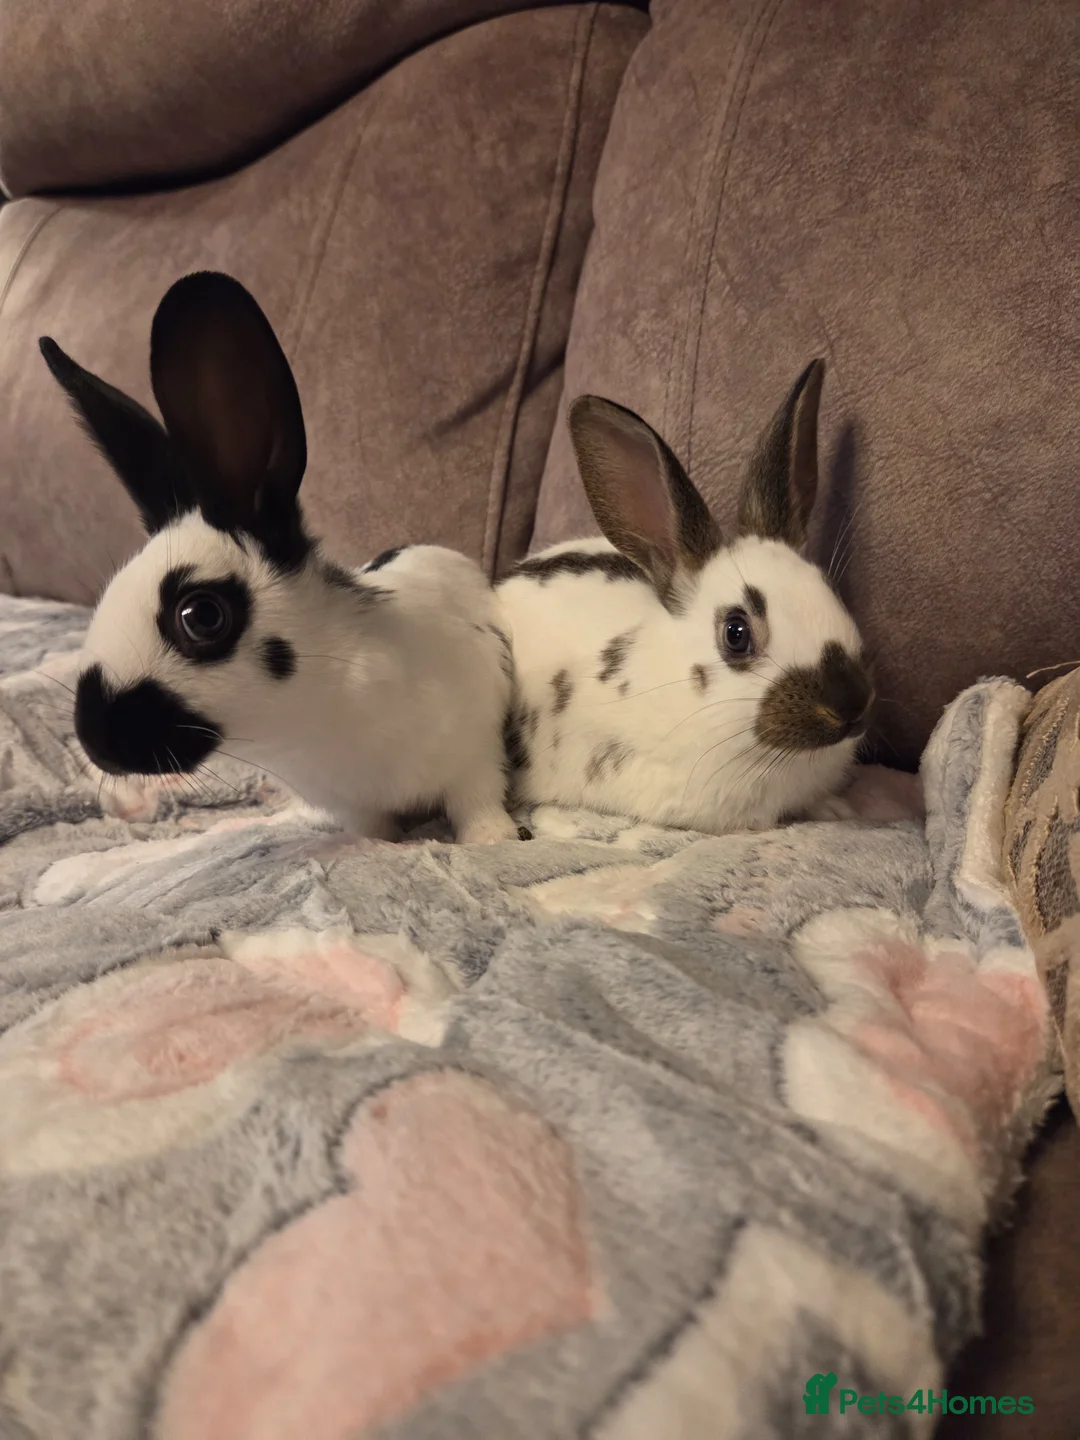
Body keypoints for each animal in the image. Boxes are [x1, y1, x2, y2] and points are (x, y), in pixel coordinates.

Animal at [40, 270, 527, 845]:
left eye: (201, 615)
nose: (95, 741)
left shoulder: (475, 754)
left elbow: (478, 803)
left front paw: (494, 840)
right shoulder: (355, 806)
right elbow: (375, 833)